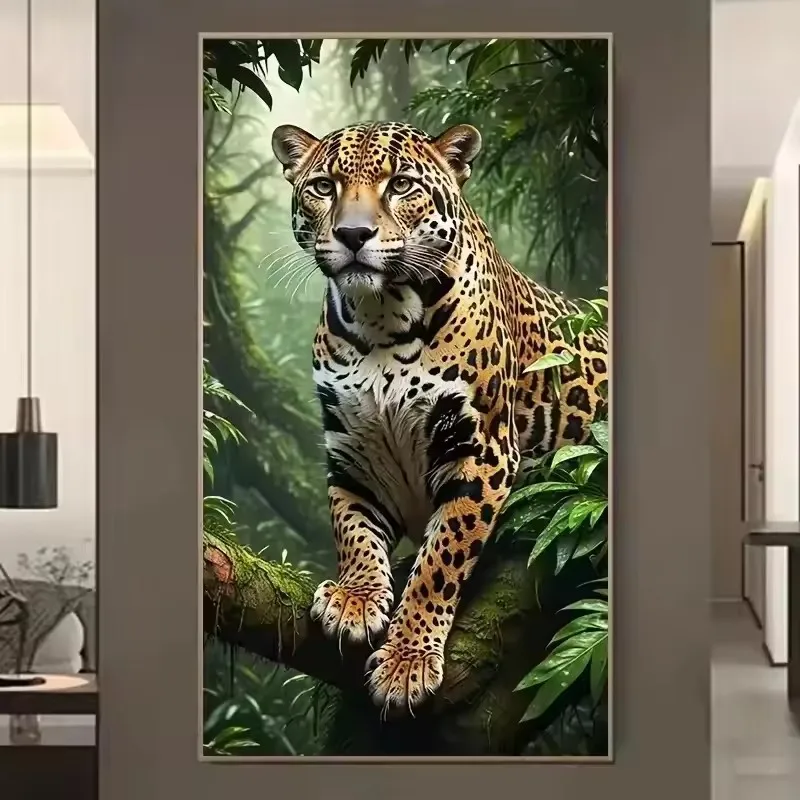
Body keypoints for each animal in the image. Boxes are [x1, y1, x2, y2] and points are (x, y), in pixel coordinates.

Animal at [271, 120, 608, 717]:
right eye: (324, 187)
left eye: (401, 184)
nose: (353, 235)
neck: (380, 321)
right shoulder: (354, 456)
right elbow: (352, 530)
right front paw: (356, 598)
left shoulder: (480, 450)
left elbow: (440, 559)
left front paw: (406, 660)